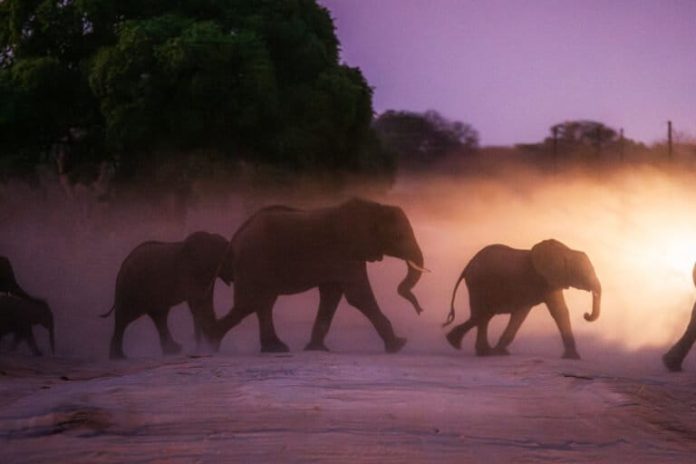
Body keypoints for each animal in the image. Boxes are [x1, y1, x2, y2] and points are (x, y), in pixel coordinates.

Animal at [101, 231, 234, 359]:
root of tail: (121, 268)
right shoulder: (191, 273)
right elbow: (197, 303)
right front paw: (206, 347)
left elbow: (204, 302)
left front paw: (207, 346)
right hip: (132, 289)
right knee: (124, 319)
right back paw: (118, 357)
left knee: (160, 316)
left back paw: (173, 350)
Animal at [212, 198, 427, 353]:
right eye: (398, 237)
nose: (420, 310)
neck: (375, 207)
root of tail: (237, 236)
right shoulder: (346, 252)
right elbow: (359, 296)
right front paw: (399, 345)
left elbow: (331, 296)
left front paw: (317, 349)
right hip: (253, 260)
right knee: (249, 303)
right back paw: (211, 341)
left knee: (262, 303)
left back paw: (272, 348)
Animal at [443, 239, 601, 359]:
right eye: (584, 272)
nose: (586, 314)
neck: (567, 251)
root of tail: (469, 264)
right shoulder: (543, 281)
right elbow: (554, 311)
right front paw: (574, 357)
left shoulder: (548, 282)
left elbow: (530, 313)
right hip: (478, 283)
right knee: (483, 313)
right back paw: (457, 343)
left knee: (485, 315)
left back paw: (479, 351)